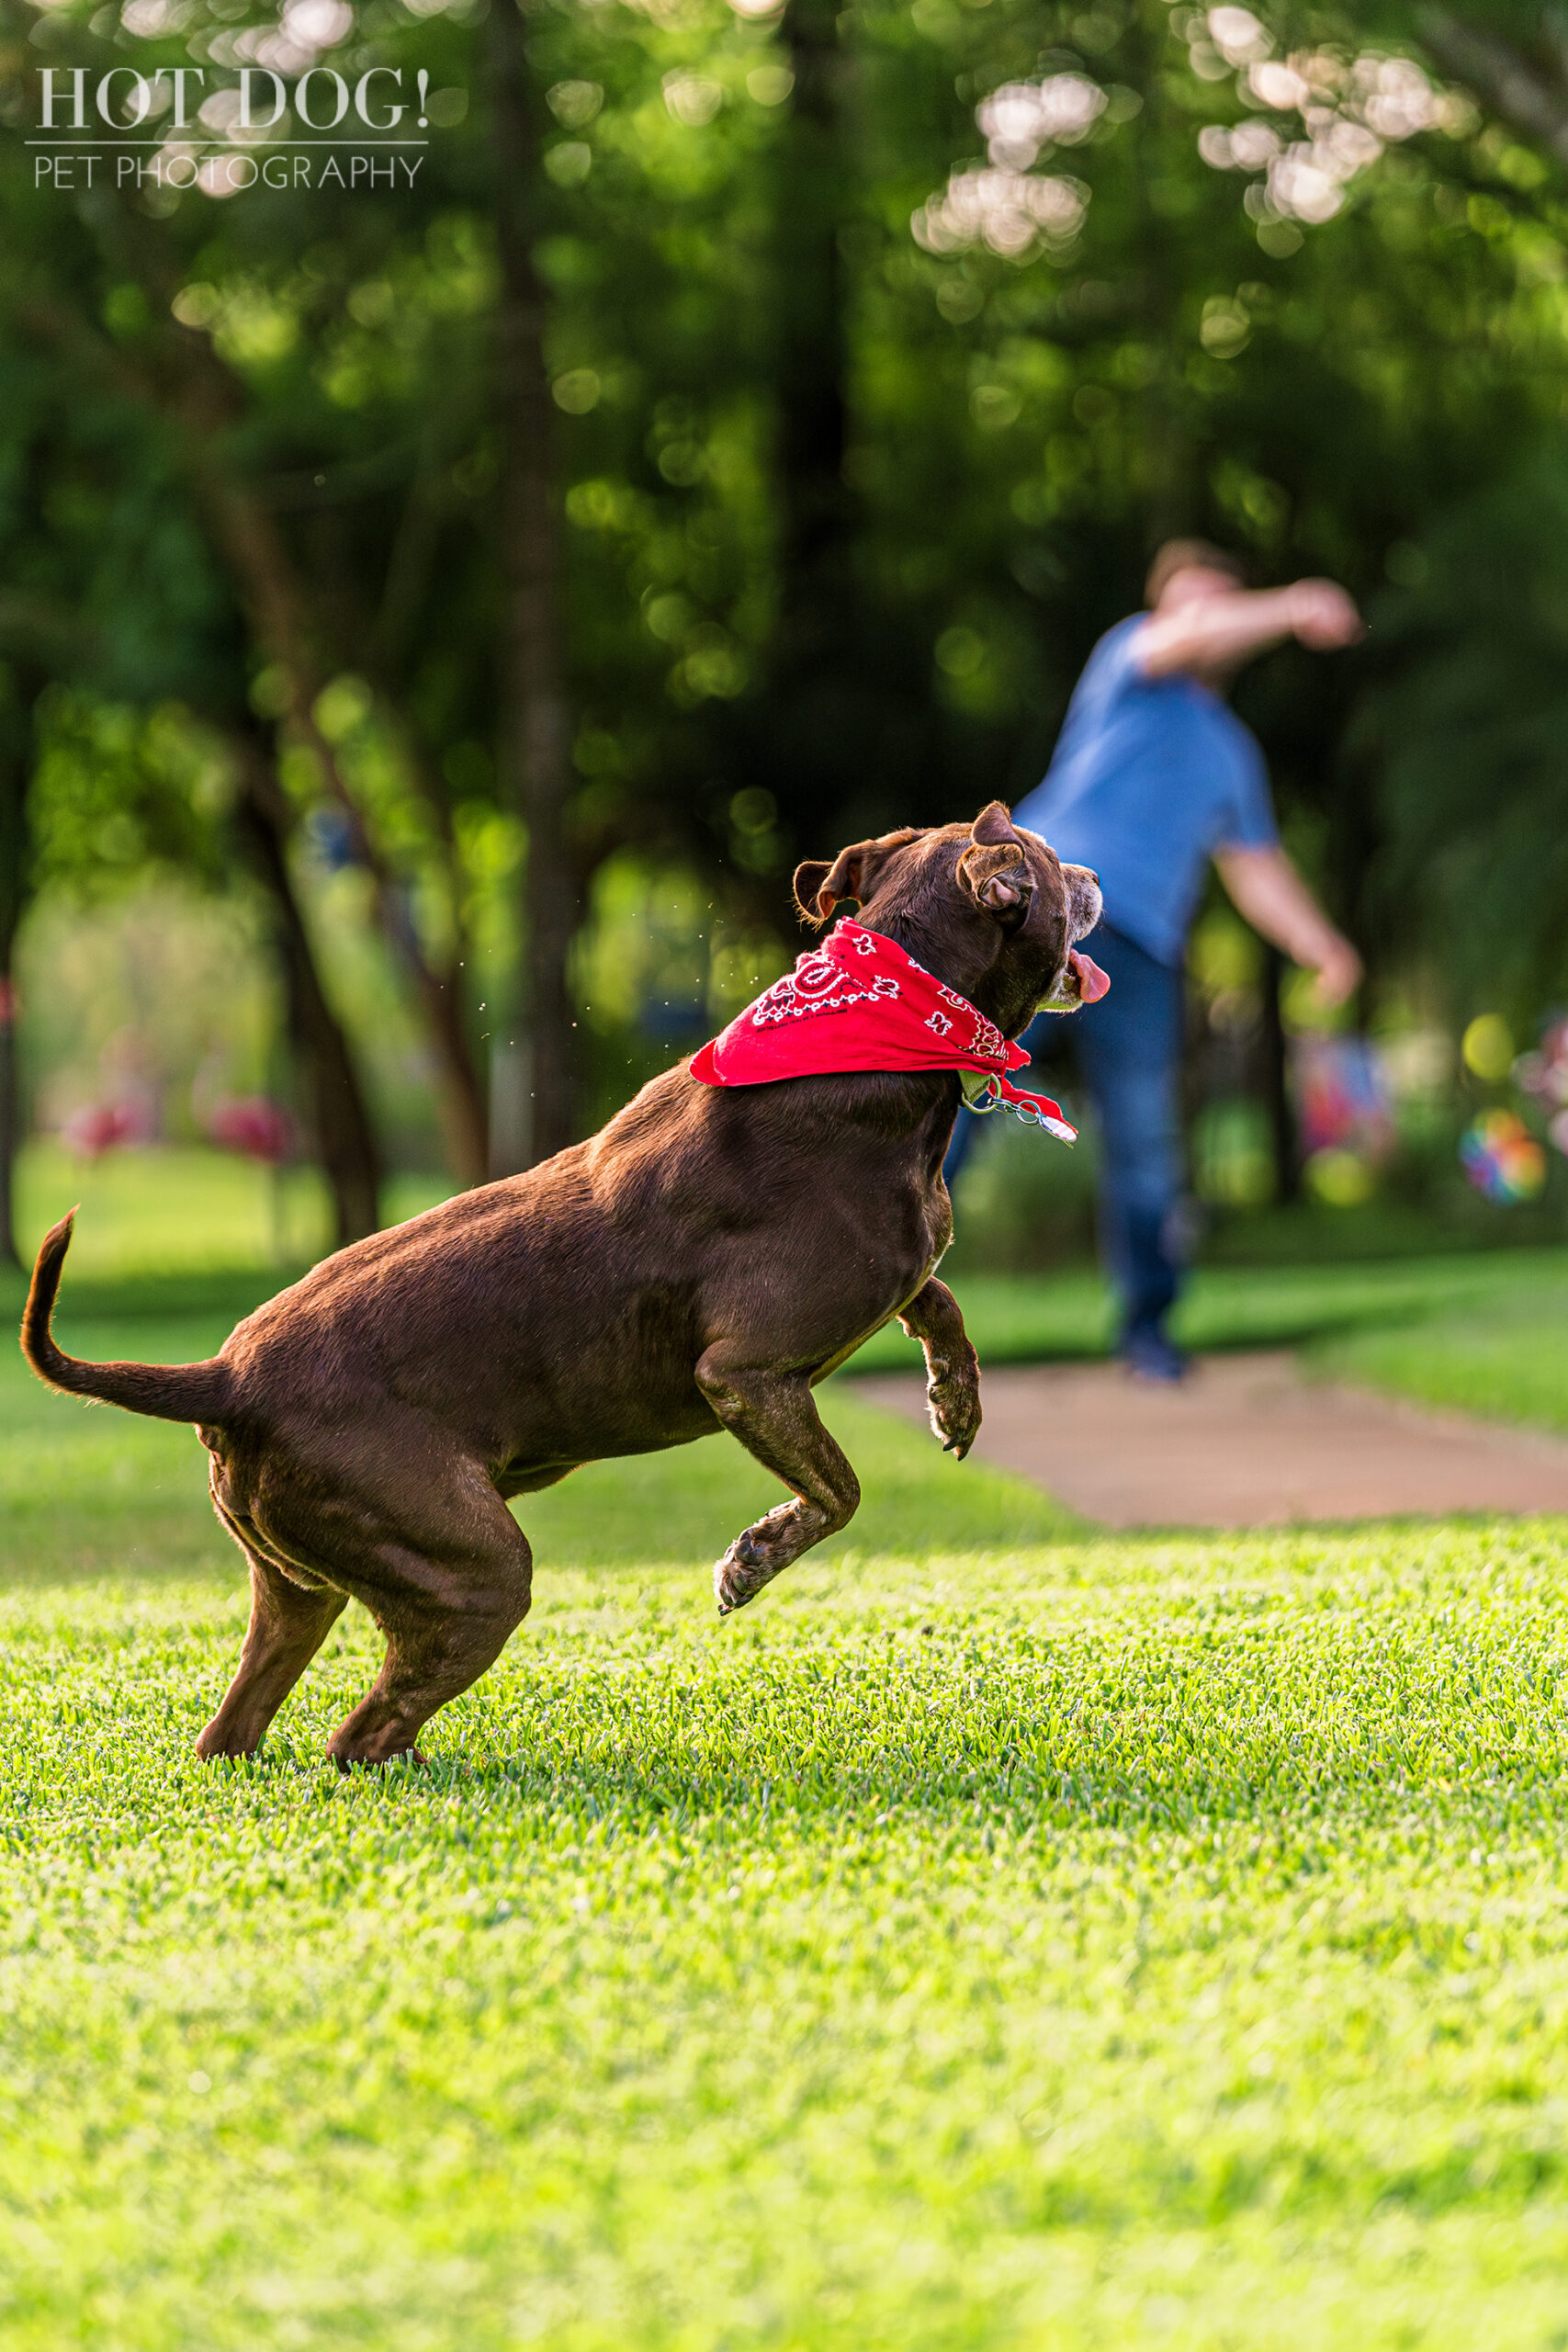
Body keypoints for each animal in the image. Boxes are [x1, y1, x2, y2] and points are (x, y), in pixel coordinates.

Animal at [24, 808, 1104, 1769]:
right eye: (1048, 861)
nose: (1095, 875)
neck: (890, 1022)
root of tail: (227, 1377)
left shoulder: (885, 1281)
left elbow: (937, 1297)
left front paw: (955, 1399)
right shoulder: (744, 1372)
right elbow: (838, 1489)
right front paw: (752, 1558)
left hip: (299, 1584)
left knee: (239, 1728)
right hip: (469, 1567)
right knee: (358, 1735)